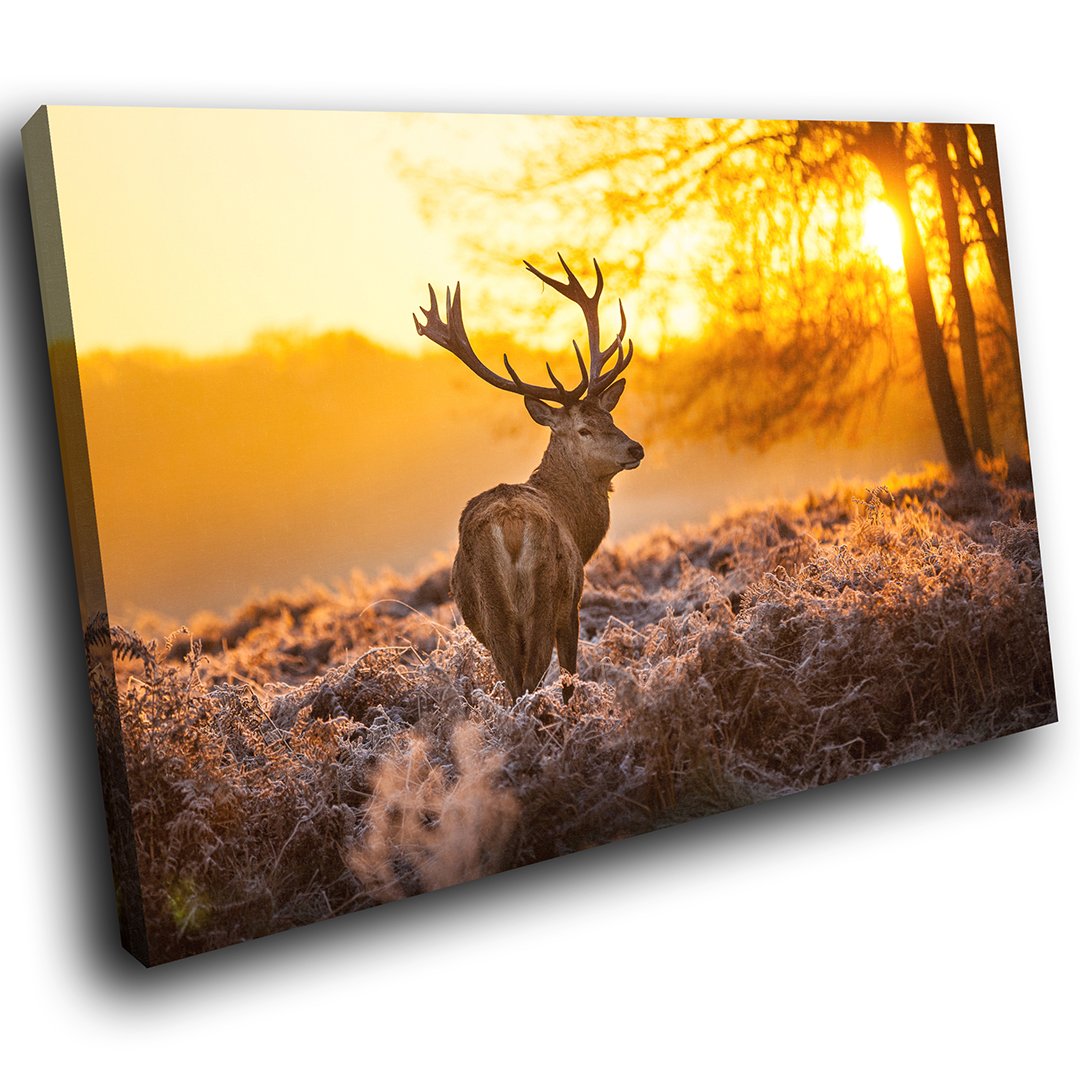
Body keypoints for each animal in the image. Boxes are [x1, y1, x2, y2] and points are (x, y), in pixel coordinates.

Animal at [413, 254, 644, 704]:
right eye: (584, 429)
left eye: (610, 418)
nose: (635, 449)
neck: (578, 527)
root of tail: (511, 526)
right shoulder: (572, 604)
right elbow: (570, 676)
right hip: (544, 598)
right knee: (532, 680)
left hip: (492, 613)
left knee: (513, 684)